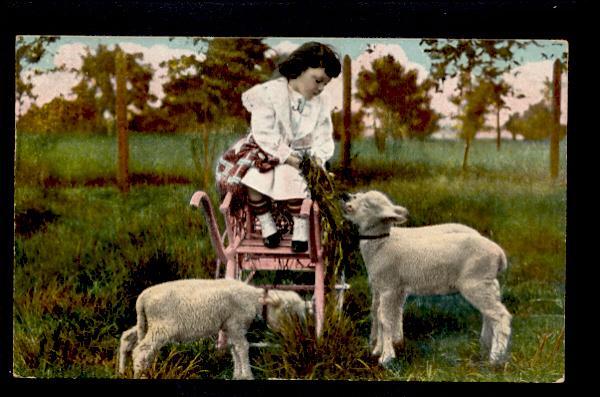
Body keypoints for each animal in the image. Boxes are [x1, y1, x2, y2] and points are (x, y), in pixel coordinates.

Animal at [119, 276, 312, 378]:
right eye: (289, 312)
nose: (292, 336)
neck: (254, 299)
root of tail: (142, 298)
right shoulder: (236, 324)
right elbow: (243, 348)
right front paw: (248, 375)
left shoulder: (229, 326)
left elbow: (234, 350)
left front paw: (237, 375)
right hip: (161, 327)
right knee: (141, 351)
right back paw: (140, 375)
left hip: (146, 323)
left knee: (127, 339)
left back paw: (121, 371)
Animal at [342, 190, 510, 366]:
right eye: (357, 195)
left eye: (368, 204)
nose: (345, 196)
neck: (383, 243)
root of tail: (500, 254)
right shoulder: (386, 288)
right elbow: (381, 314)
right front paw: (380, 349)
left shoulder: (389, 287)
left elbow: (385, 319)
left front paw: (385, 357)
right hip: (487, 282)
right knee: (490, 313)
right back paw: (486, 347)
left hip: (475, 283)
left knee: (501, 316)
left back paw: (495, 358)